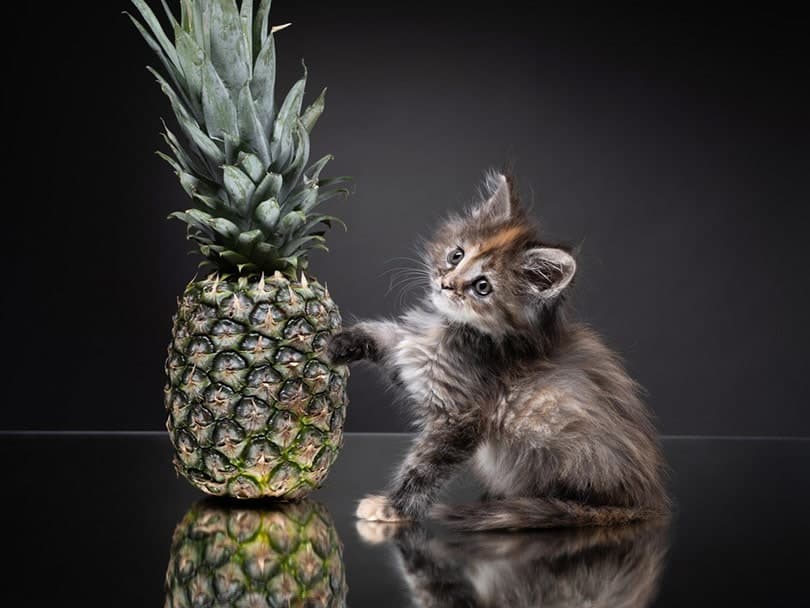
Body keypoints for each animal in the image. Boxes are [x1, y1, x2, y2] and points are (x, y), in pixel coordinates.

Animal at [326, 170, 664, 528]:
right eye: (456, 255)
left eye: (482, 287)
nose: (446, 283)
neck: (450, 330)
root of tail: (646, 502)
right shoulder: (410, 356)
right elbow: (384, 335)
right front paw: (338, 344)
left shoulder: (461, 414)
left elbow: (425, 466)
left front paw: (394, 507)